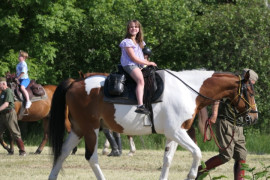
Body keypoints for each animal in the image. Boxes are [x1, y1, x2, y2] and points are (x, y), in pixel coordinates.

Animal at [48, 69, 258, 180]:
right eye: (249, 92)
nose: (253, 117)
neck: (188, 91)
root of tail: (76, 82)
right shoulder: (177, 132)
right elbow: (197, 153)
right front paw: (193, 174)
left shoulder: (174, 134)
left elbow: (167, 161)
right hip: (90, 130)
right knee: (91, 158)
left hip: (77, 130)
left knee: (62, 154)